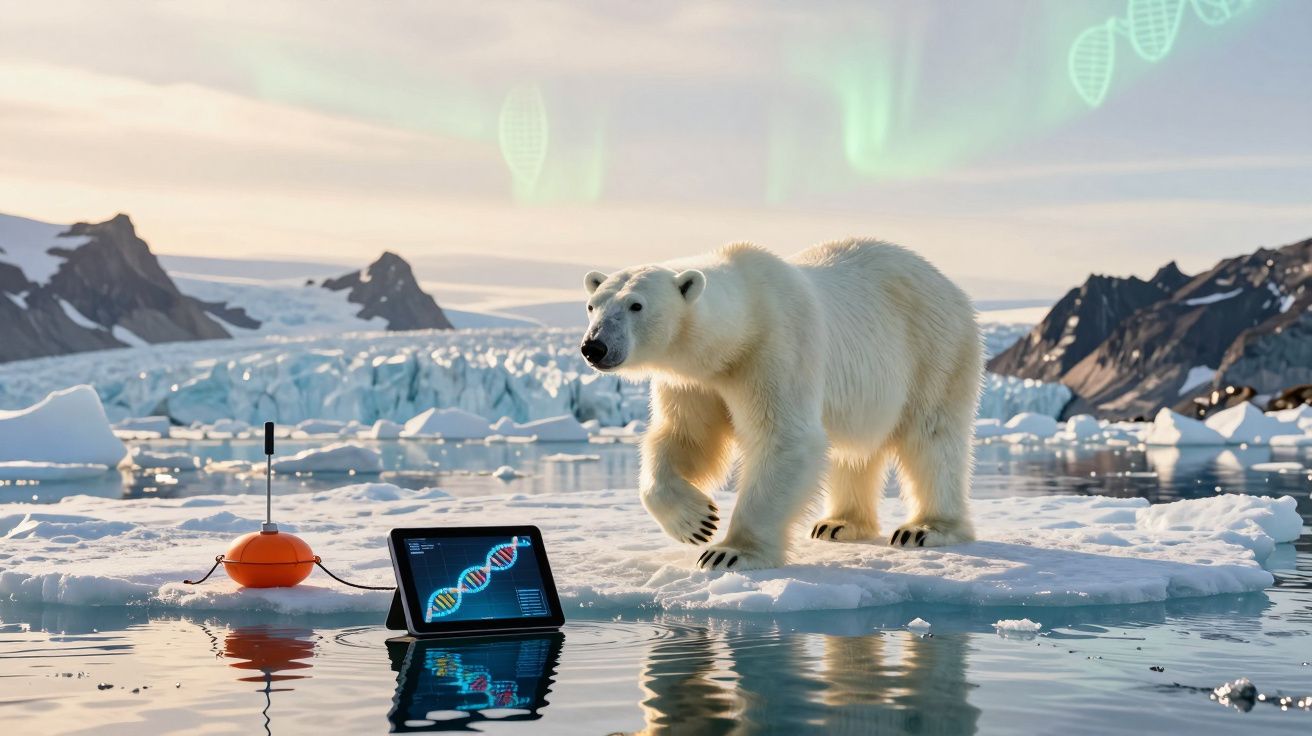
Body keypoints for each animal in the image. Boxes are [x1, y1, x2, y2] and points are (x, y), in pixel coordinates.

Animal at [581, 239, 982, 570]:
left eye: (636, 305)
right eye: (592, 305)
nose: (594, 347)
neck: (740, 327)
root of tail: (949, 285)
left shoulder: (775, 349)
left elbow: (784, 439)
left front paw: (729, 552)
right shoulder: (695, 381)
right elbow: (686, 437)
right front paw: (695, 521)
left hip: (935, 349)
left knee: (931, 437)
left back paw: (925, 528)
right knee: (853, 452)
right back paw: (838, 523)